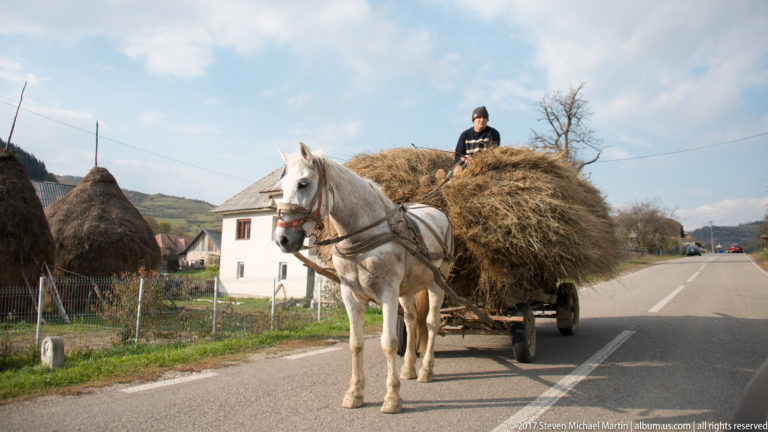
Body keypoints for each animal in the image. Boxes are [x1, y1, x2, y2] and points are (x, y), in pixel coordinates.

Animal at [274, 142, 453, 414]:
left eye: (303, 184)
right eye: (282, 187)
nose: (282, 239)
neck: (365, 234)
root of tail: (438, 213)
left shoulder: (388, 292)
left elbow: (388, 342)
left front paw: (392, 397)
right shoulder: (351, 294)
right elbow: (356, 343)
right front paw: (355, 393)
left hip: (437, 282)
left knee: (432, 323)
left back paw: (426, 370)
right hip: (408, 288)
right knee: (412, 321)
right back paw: (409, 368)